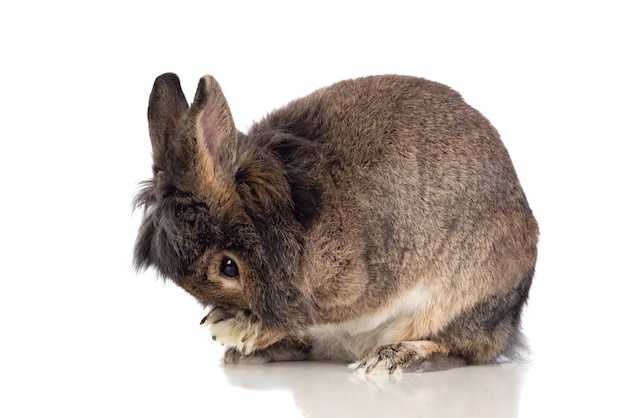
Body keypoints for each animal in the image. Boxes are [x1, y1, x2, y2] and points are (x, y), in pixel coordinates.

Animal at [133, 73, 536, 374]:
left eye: (228, 267)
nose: (226, 314)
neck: (284, 212)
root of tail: (509, 325)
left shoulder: (349, 283)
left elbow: (300, 315)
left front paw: (237, 329)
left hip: (463, 303)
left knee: (462, 351)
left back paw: (391, 359)